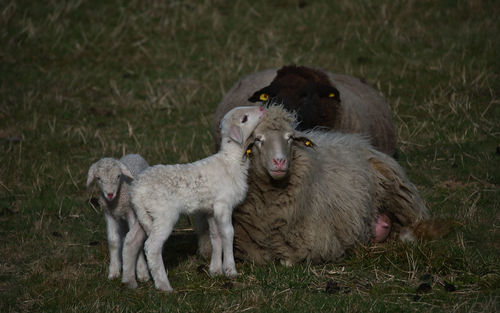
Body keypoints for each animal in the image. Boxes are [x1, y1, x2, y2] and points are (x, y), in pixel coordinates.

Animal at [86, 153, 150, 286]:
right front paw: (114, 271)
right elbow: (113, 240)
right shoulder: (109, 214)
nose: (110, 194)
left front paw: (142, 273)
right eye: (98, 178)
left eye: (118, 176)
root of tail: (134, 154)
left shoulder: (131, 212)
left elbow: (135, 239)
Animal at [131, 106, 268, 292]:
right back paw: (164, 285)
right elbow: (228, 233)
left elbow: (215, 236)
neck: (231, 161)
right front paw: (231, 270)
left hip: (142, 214)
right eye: (245, 118)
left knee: (132, 241)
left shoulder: (210, 210)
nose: (261, 108)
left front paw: (216, 270)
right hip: (163, 214)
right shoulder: (223, 204)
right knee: (151, 246)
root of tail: (137, 190)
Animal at [197, 106, 432, 264]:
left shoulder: (315, 244)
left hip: (400, 194)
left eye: (290, 138)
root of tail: (359, 142)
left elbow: (288, 260)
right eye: (258, 140)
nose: (280, 162)